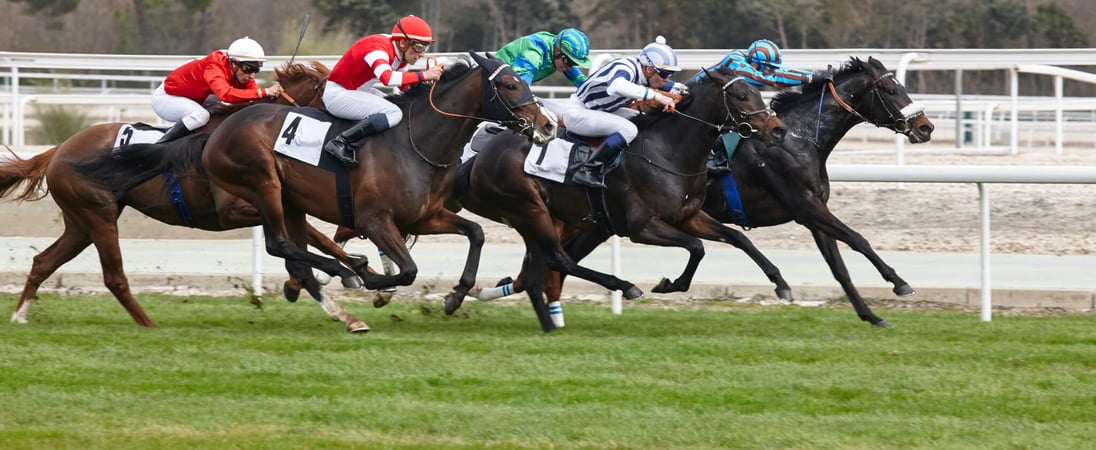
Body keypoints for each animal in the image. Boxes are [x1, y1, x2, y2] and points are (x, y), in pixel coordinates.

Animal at [0, 61, 363, 328]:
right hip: (98, 217)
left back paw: (20, 316)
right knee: (114, 277)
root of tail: (59, 150)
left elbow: (318, 238)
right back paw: (149, 326)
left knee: (44, 261)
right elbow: (303, 238)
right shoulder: (234, 210)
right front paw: (319, 279)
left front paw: (355, 269)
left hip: (80, 222)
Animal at [453, 65, 789, 330]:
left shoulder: (689, 216)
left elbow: (737, 238)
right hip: (529, 209)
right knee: (558, 259)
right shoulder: (642, 227)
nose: (779, 130)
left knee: (543, 265)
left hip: (540, 217)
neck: (667, 152)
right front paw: (670, 284)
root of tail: (481, 156)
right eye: (742, 96)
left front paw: (781, 285)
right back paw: (624, 287)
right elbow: (697, 247)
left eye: (757, 92)